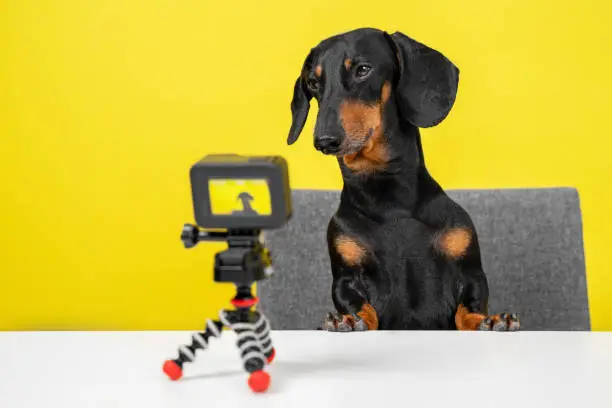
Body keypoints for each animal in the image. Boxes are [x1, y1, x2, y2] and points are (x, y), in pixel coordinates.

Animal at [286, 27, 520, 332]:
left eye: (363, 70)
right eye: (314, 83)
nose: (324, 140)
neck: (389, 199)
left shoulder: (470, 274)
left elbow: (469, 308)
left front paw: (489, 321)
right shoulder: (345, 278)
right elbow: (359, 305)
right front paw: (347, 320)